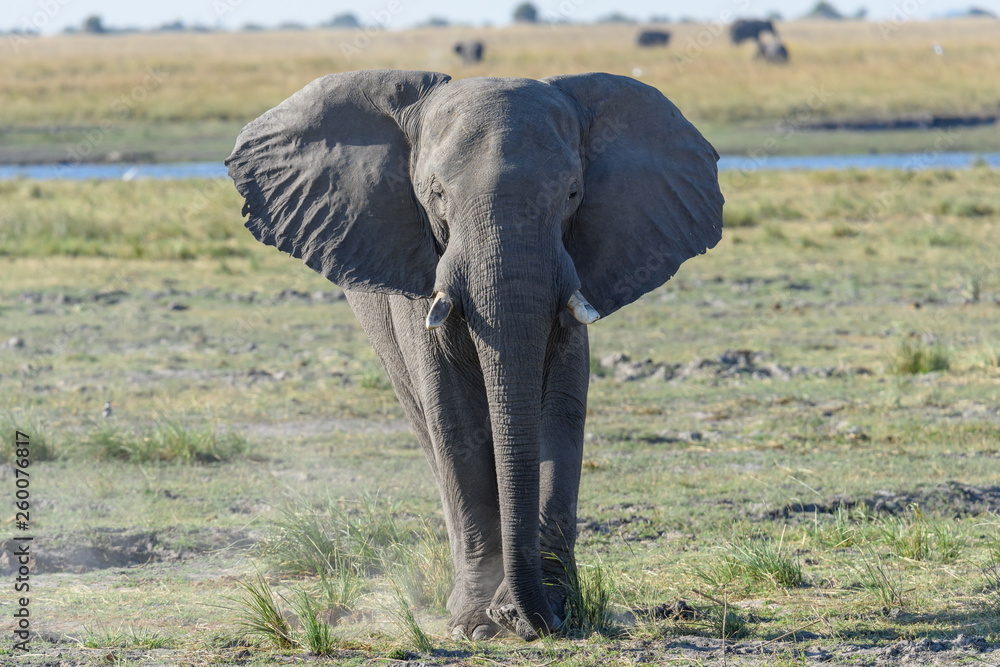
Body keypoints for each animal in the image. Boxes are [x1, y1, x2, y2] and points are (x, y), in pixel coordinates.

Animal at [226, 69, 723, 641]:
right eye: (436, 194)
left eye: (573, 193)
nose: (528, 619)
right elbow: (455, 416)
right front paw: (476, 625)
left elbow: (559, 410)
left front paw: (557, 608)